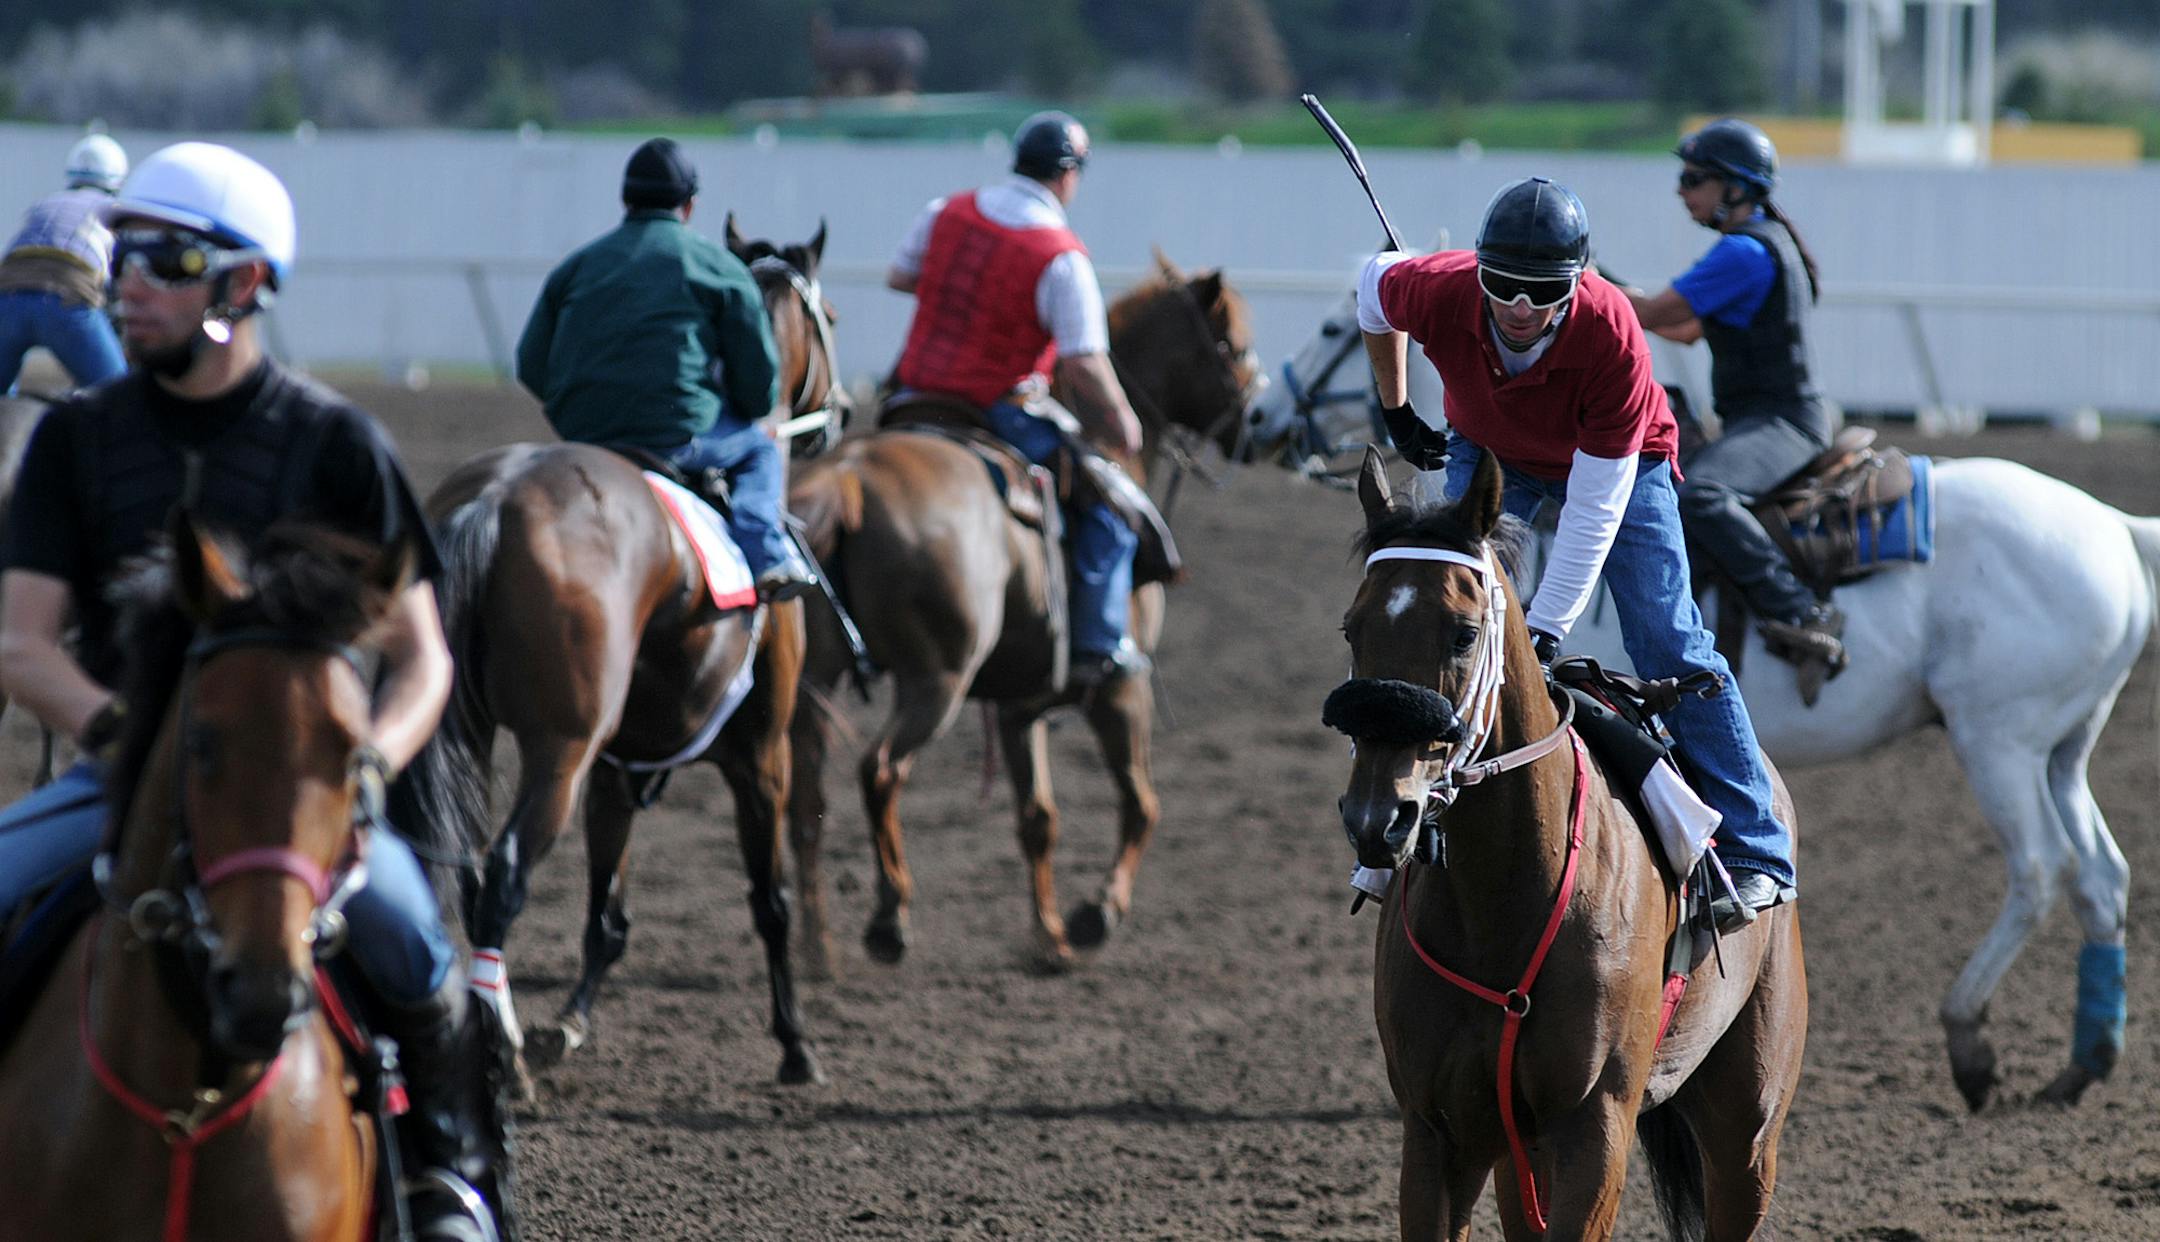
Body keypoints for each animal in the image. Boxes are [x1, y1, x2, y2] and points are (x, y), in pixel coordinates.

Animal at [388, 223, 845, 1092]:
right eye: (829, 314)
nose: (842, 414)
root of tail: (493, 500)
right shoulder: (758, 754)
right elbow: (768, 902)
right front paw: (797, 1042)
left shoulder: (618, 767)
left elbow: (609, 916)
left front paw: (567, 1024)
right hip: (559, 749)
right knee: (502, 875)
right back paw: (498, 1058)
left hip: (465, 731)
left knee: (450, 870)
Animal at [785, 251, 1261, 972]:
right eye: (1230, 343)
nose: (1259, 430)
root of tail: (849, 480)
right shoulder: (1121, 688)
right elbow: (1141, 804)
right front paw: (1095, 914)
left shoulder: (1018, 704)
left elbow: (1038, 818)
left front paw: (1049, 936)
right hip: (938, 679)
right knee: (881, 770)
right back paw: (889, 919)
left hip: (819, 677)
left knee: (806, 798)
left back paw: (817, 949)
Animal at [1262, 288, 2160, 1111]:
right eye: (1353, 628)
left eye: (1333, 328)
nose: (1264, 416)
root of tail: (2111, 524)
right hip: (2060, 750)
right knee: (2100, 873)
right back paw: (2083, 1063)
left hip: (1997, 740)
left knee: (2042, 869)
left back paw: (1970, 1042)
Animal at [1332, 447, 1807, 1240]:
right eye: (1351, 628)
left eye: (1463, 633)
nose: (1378, 817)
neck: (1502, 899)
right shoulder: (1439, 1134)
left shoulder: (1595, 1123)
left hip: (1748, 1126)